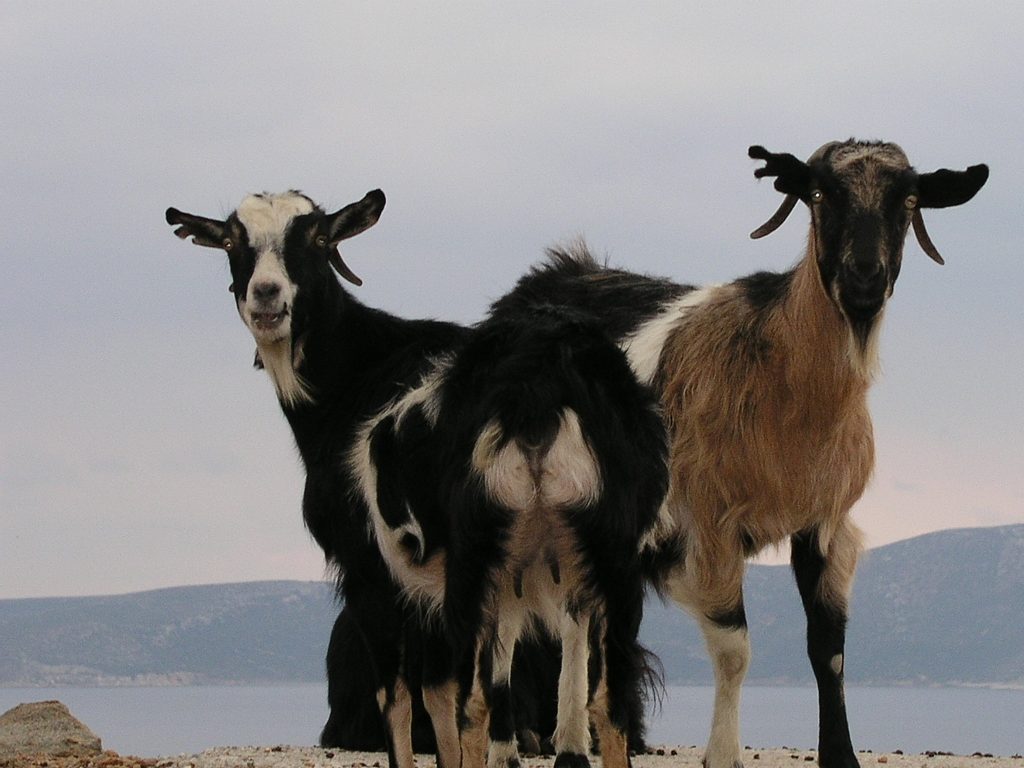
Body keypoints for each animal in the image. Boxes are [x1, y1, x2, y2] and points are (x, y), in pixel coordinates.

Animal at [165, 189, 665, 768]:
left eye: (318, 238)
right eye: (230, 241)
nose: (266, 296)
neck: (356, 377)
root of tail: (545, 371)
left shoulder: (372, 570)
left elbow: (407, 698)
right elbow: (452, 695)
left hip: (477, 558)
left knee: (476, 703)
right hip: (607, 558)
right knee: (604, 700)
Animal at [488, 139, 988, 768]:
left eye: (910, 200)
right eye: (819, 193)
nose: (864, 277)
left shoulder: (824, 522)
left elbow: (828, 650)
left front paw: (840, 755)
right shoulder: (709, 526)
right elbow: (735, 650)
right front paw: (721, 755)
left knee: (576, 615)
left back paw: (573, 748)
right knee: (506, 622)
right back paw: (507, 748)